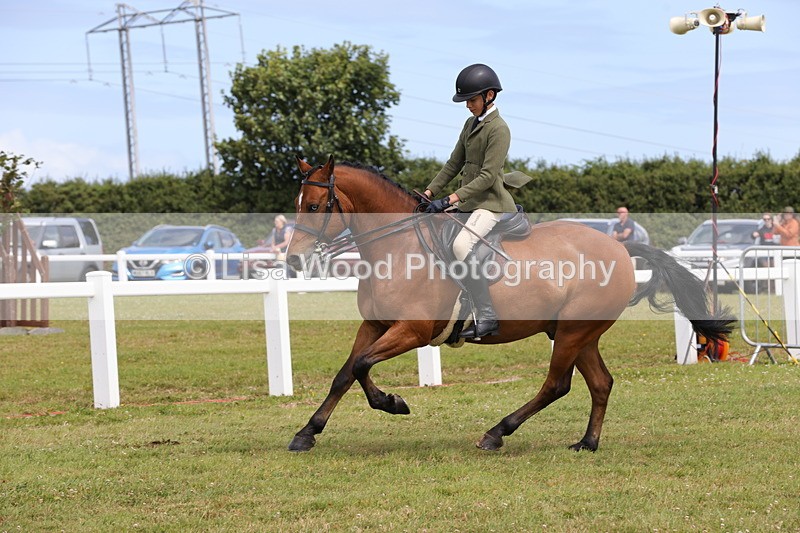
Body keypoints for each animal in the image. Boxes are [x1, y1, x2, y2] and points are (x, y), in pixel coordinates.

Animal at [285, 155, 733, 453]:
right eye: (297, 204)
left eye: (314, 206)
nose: (291, 261)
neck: (397, 246)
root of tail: (620, 249)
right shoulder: (375, 325)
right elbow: (345, 374)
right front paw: (307, 433)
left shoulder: (411, 331)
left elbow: (362, 366)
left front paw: (393, 403)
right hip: (578, 333)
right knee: (600, 382)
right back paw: (587, 443)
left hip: (572, 332)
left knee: (556, 384)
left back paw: (496, 433)